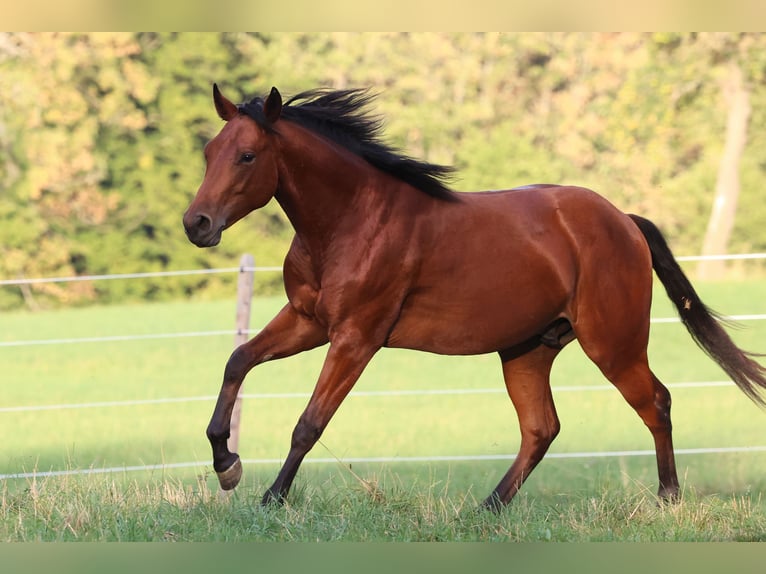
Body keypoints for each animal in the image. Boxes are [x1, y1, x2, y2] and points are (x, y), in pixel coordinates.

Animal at [183, 83, 766, 511]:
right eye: (209, 152)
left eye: (247, 155)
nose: (197, 224)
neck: (352, 219)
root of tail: (623, 219)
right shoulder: (308, 321)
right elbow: (238, 361)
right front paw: (226, 465)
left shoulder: (356, 337)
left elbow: (309, 423)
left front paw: (271, 499)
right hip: (528, 349)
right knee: (541, 428)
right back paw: (488, 507)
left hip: (613, 344)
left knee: (656, 402)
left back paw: (668, 497)